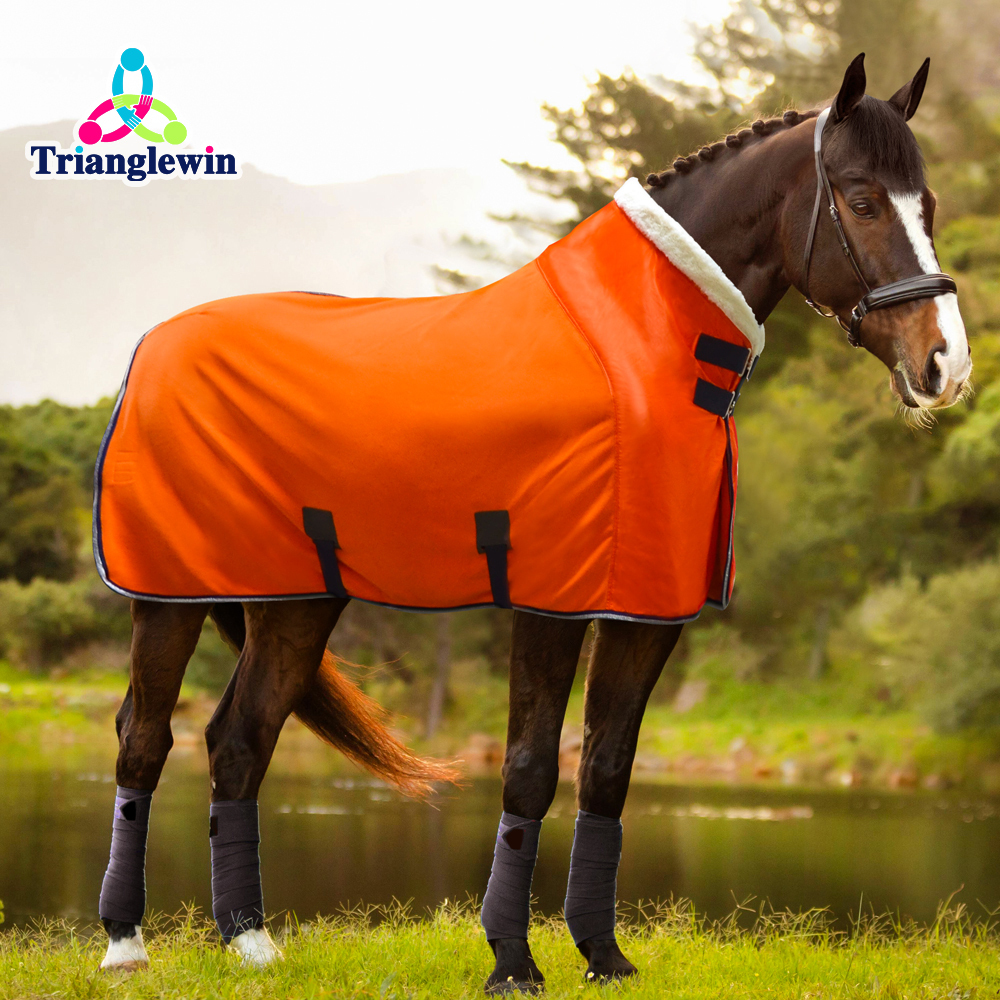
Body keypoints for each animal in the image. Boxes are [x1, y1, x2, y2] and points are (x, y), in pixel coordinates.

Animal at [96, 53, 969, 992]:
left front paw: (603, 955)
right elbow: (528, 772)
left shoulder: (647, 612)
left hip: (295, 601)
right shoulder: (552, 602)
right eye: (862, 200)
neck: (642, 348)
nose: (946, 364)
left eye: (927, 203)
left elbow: (608, 771)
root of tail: (152, 347)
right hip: (168, 597)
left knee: (239, 741)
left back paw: (250, 941)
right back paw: (124, 945)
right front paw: (513, 962)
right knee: (144, 739)